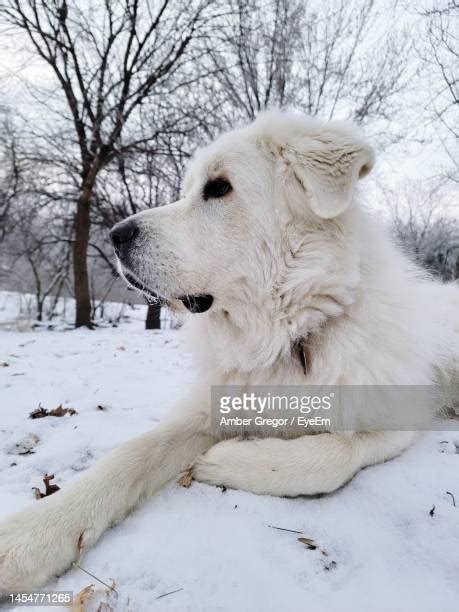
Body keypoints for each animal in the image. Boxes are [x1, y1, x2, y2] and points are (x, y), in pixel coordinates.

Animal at [0, 111, 459, 592]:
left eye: (219, 187)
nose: (115, 235)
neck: (284, 337)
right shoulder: (206, 409)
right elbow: (131, 454)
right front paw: (33, 534)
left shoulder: (392, 418)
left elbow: (333, 453)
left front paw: (225, 460)